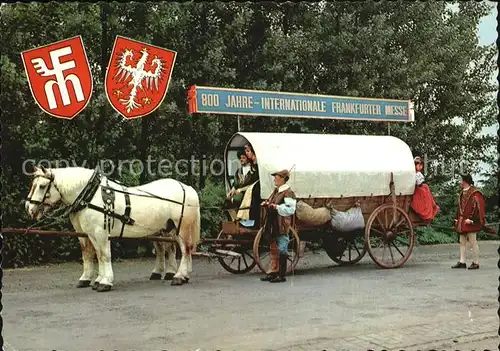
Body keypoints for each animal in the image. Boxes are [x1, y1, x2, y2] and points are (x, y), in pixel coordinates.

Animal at [24, 166, 201, 292]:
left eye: (42, 186)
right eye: (33, 185)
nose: (29, 208)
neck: (91, 196)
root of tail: (187, 188)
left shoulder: (101, 233)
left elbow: (104, 255)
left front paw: (105, 282)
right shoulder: (90, 234)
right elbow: (94, 255)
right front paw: (95, 280)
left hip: (181, 228)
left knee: (184, 249)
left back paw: (178, 277)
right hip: (170, 228)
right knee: (177, 249)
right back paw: (181, 275)